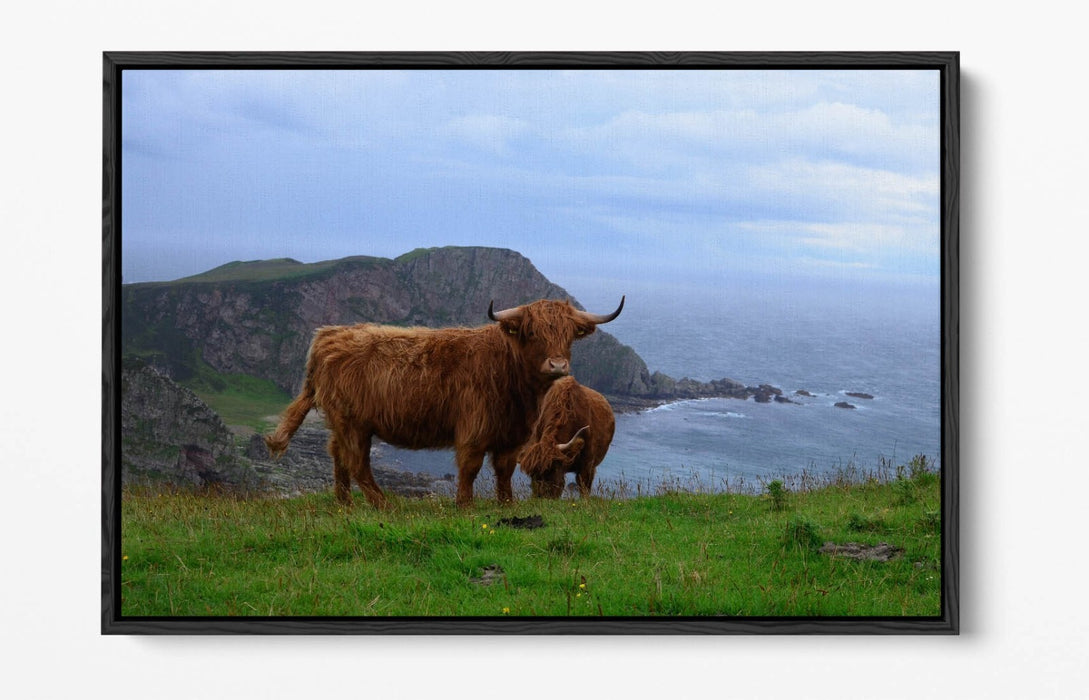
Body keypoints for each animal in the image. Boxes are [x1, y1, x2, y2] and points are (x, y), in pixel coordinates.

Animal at [264, 297, 624, 508]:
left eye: (568, 334)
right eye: (532, 332)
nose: (558, 365)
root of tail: (328, 335)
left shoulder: (512, 436)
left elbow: (504, 471)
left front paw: (506, 505)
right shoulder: (474, 429)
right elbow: (470, 468)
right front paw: (464, 506)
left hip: (342, 422)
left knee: (337, 455)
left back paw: (344, 504)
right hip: (354, 423)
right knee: (356, 462)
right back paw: (384, 505)